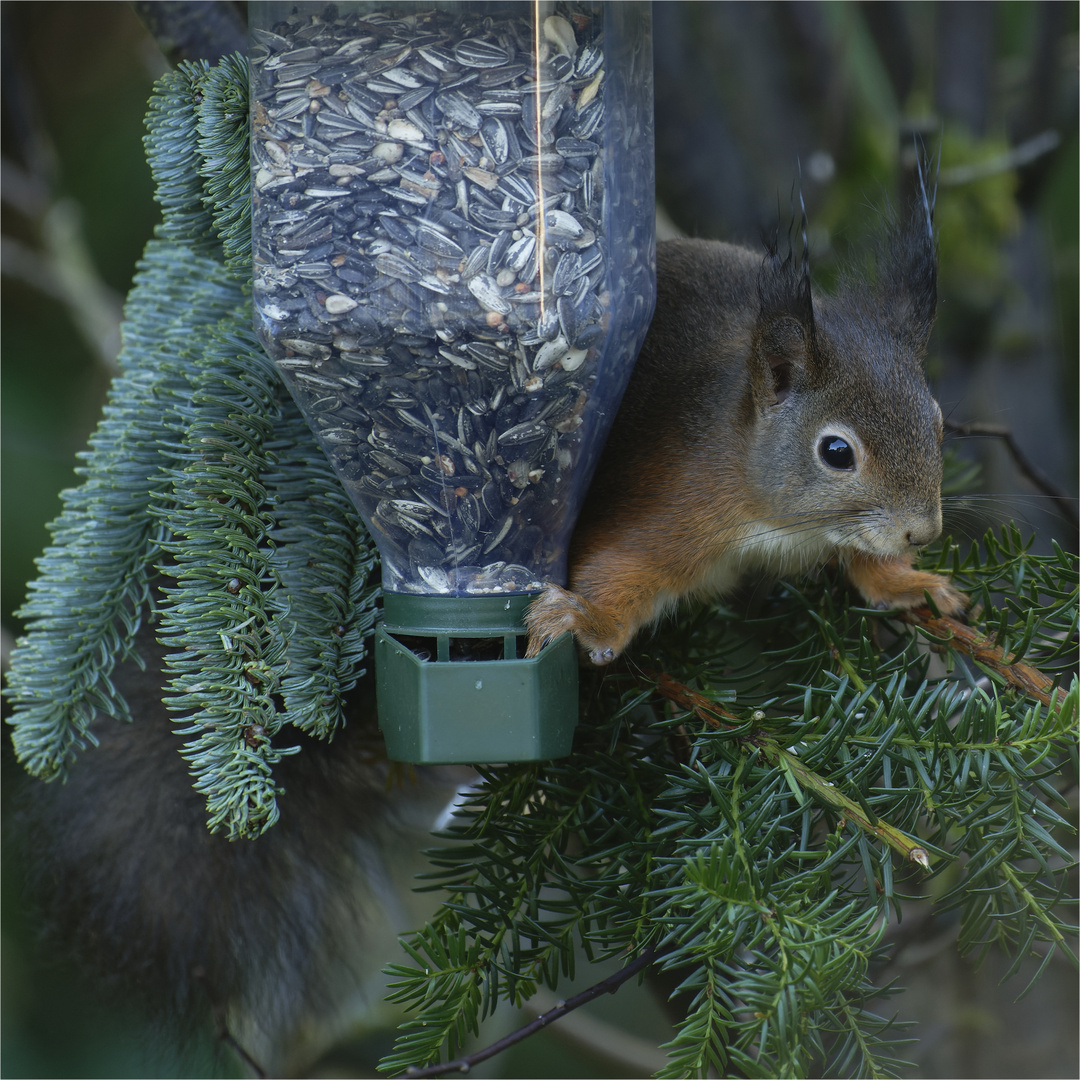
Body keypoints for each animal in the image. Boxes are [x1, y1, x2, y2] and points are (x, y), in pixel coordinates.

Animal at [527, 198, 967, 665]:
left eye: (937, 422)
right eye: (836, 452)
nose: (922, 533)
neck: (783, 526)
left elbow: (869, 560)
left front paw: (909, 583)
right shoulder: (671, 501)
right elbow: (616, 568)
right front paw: (583, 618)